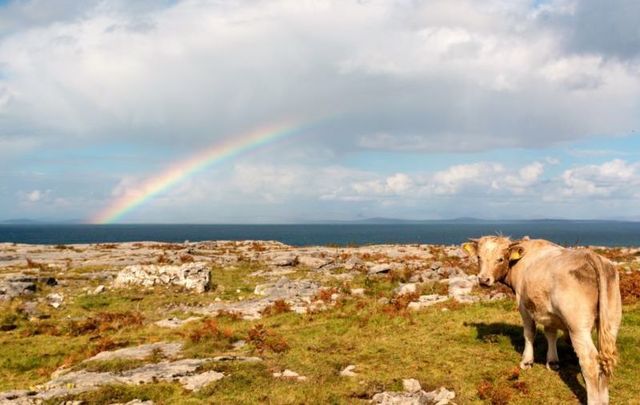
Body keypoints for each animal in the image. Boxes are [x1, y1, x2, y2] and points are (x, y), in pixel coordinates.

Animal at [462, 235, 624, 402]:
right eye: (479, 257)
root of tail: (590, 256)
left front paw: (527, 361)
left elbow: (529, 332)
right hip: (612, 322)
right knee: (605, 361)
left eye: (500, 259)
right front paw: (552, 362)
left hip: (578, 327)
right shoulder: (549, 312)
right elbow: (550, 334)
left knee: (590, 361)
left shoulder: (522, 305)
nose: (483, 279)